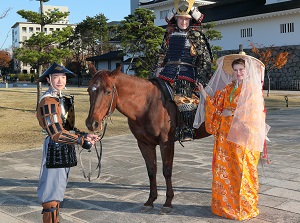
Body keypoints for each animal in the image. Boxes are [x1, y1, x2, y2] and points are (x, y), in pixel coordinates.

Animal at [85, 66, 210, 213]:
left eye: (108, 91)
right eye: (89, 90)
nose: (92, 123)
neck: (146, 105)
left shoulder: (166, 143)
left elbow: (167, 171)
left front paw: (168, 202)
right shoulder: (144, 144)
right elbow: (151, 170)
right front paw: (150, 200)